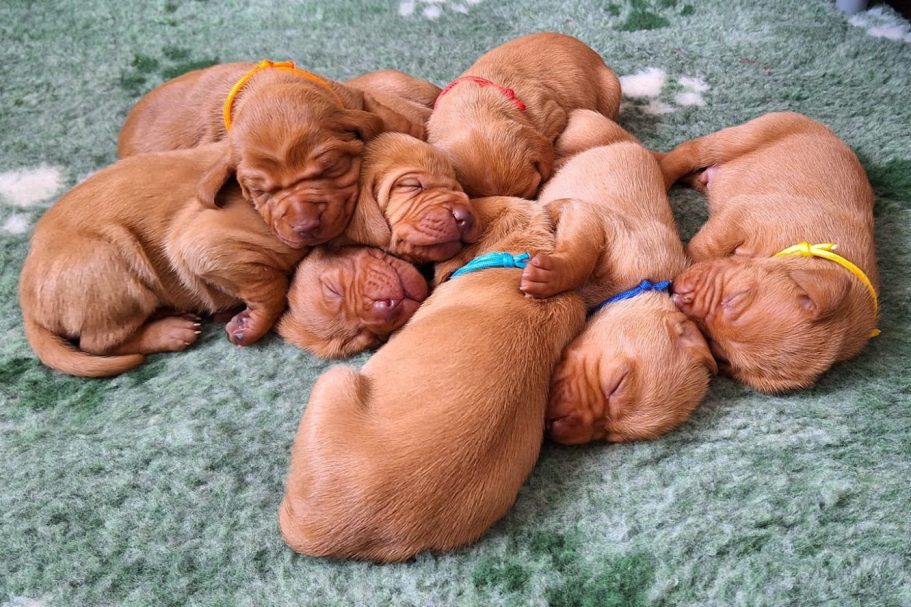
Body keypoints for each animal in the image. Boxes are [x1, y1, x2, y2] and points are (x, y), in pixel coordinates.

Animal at [19, 143, 305, 378]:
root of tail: (28, 306)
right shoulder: (206, 245)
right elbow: (271, 287)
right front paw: (250, 325)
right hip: (111, 264)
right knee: (97, 343)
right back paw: (171, 331)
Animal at [118, 62, 435, 247]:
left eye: (330, 167)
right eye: (259, 191)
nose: (305, 226)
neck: (265, 87)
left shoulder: (352, 98)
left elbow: (386, 115)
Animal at [519, 111, 716, 443]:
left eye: (611, 435)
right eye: (617, 382)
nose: (558, 427)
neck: (640, 285)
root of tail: (633, 143)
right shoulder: (593, 218)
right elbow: (583, 252)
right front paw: (549, 277)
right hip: (589, 129)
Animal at [659, 112, 879, 393]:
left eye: (718, 349)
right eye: (737, 297)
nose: (679, 295)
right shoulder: (741, 215)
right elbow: (705, 247)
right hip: (752, 133)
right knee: (688, 152)